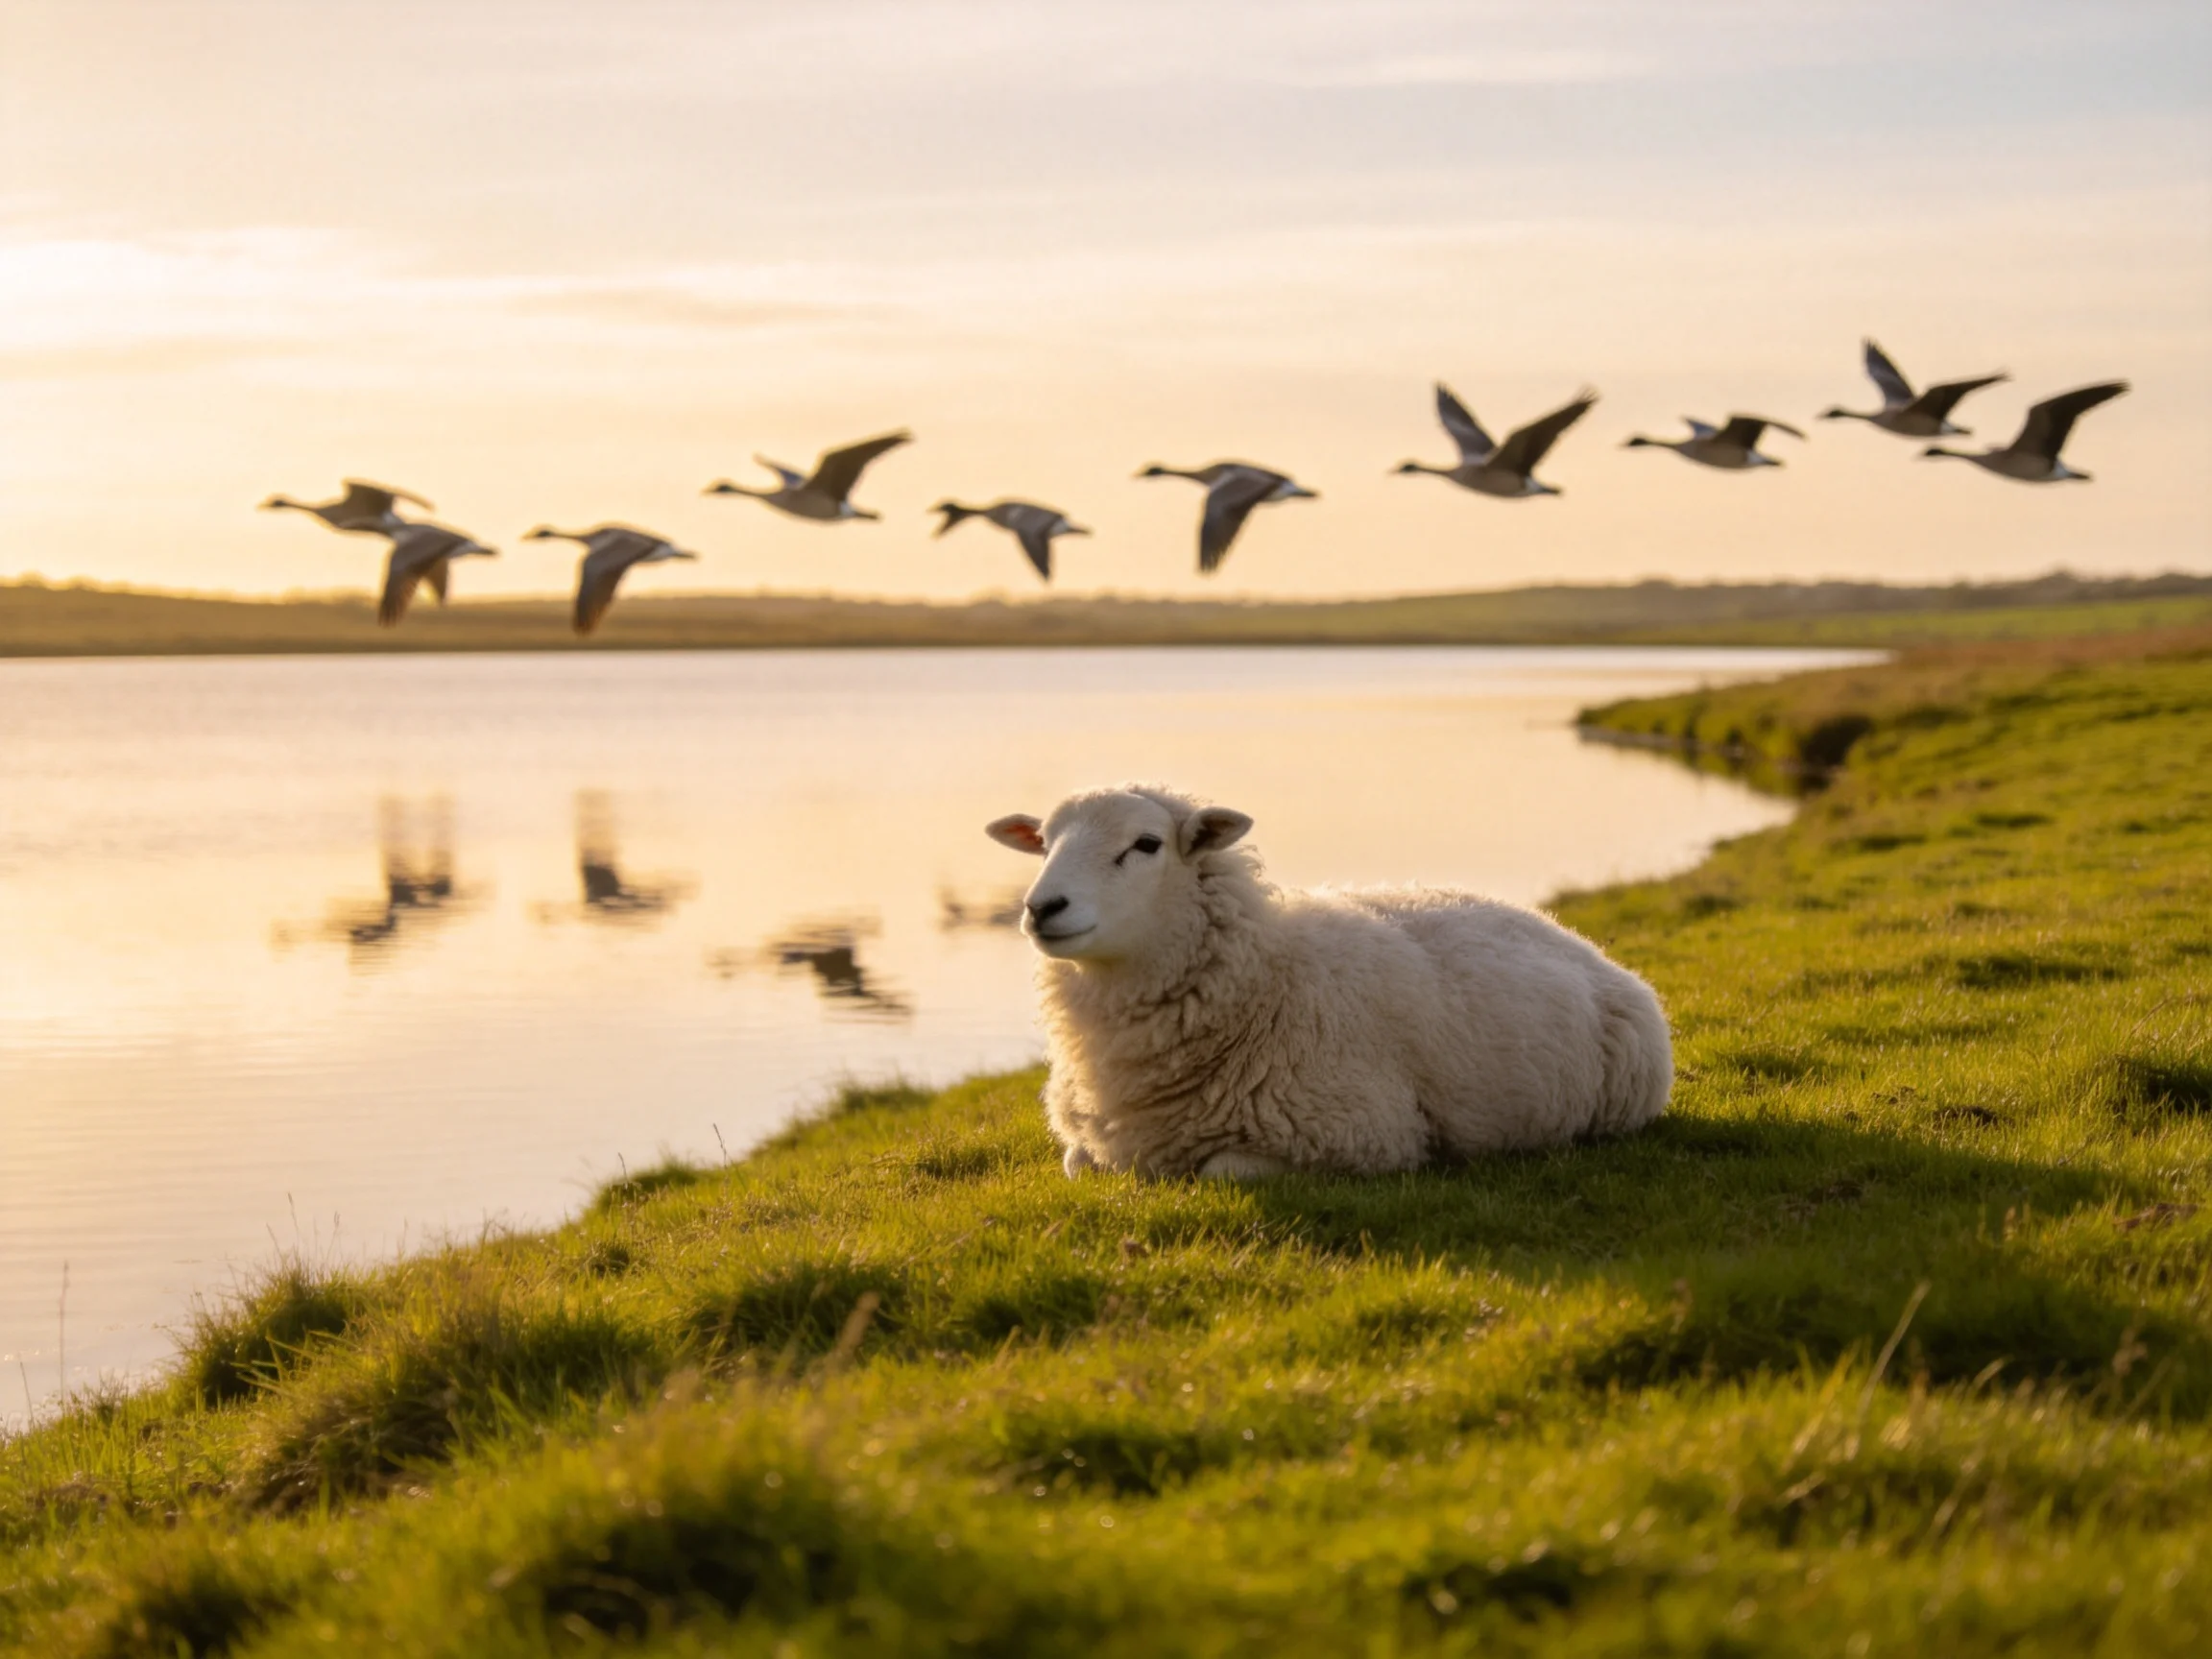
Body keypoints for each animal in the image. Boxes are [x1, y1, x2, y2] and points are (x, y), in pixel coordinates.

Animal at [986, 784, 1672, 1179]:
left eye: (1146, 844)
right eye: (1043, 842)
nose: (1041, 908)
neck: (1265, 979)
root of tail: (1566, 931)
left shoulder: (1360, 1133)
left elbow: (1219, 1172)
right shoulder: (1091, 1143)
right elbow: (1077, 1165)